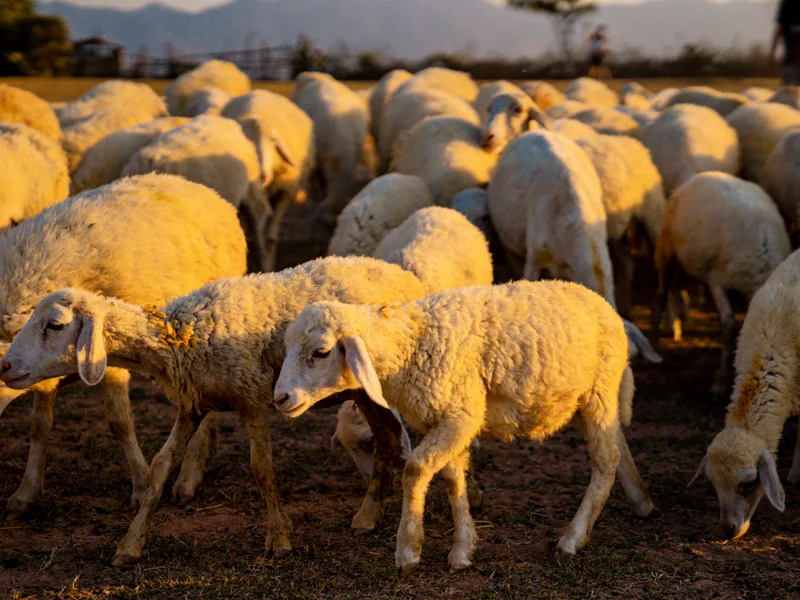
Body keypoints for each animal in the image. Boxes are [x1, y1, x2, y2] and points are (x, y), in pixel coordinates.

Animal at [0, 173, 247, 519]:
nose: (5, 368)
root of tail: (196, 186)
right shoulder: (42, 368)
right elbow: (39, 426)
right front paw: (26, 492)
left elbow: (120, 423)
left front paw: (142, 487)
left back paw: (188, 477)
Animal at [0, 256, 429, 565]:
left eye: (55, 325)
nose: (4, 366)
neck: (179, 335)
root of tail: (408, 277)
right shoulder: (193, 404)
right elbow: (159, 468)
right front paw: (129, 545)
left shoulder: (253, 397)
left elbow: (262, 469)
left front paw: (279, 538)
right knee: (388, 438)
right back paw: (369, 515)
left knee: (390, 438)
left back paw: (371, 514)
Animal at [222, 89, 316, 270]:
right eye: (246, 144)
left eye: (272, 141)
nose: (261, 174)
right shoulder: (250, 202)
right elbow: (256, 241)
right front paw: (262, 266)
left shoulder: (285, 192)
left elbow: (270, 239)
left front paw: (269, 265)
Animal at [273, 279, 653, 575]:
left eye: (321, 352)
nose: (281, 398)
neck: (412, 343)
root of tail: (604, 304)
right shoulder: (446, 418)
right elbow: (453, 480)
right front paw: (462, 550)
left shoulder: (460, 415)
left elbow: (416, 469)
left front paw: (408, 549)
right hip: (589, 400)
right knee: (619, 446)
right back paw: (642, 501)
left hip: (599, 392)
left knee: (605, 462)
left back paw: (573, 538)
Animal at [651, 172, 791, 401]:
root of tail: (705, 174)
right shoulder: (718, 281)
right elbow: (729, 326)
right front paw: (720, 382)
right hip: (667, 248)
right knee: (660, 296)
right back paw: (654, 345)